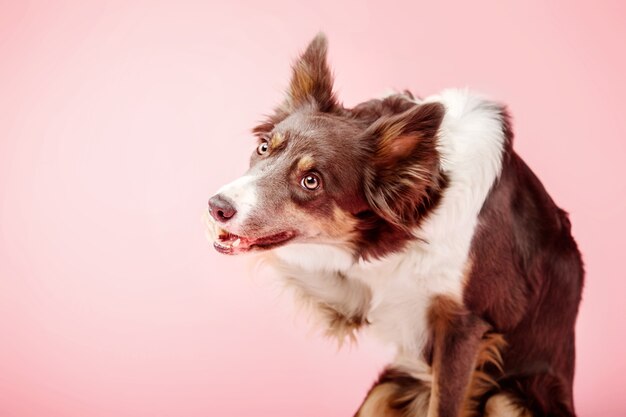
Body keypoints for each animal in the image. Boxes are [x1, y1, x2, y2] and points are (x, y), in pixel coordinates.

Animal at [204, 33, 580, 416]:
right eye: (264, 148)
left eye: (312, 181)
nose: (217, 207)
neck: (423, 208)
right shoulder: (359, 294)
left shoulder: (464, 324)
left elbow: (444, 405)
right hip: (387, 388)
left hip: (507, 397)